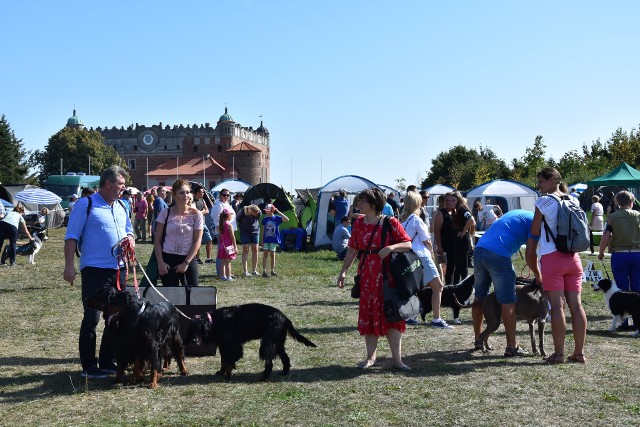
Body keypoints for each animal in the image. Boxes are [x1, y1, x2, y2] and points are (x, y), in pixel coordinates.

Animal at [188, 302, 318, 382]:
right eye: (191, 329)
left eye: (199, 328)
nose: (193, 340)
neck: (215, 321)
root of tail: (284, 318)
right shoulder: (223, 345)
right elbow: (223, 360)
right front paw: (221, 372)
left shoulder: (231, 345)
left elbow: (229, 361)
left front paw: (227, 376)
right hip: (277, 343)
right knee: (285, 358)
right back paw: (284, 372)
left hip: (267, 344)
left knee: (269, 363)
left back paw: (264, 378)